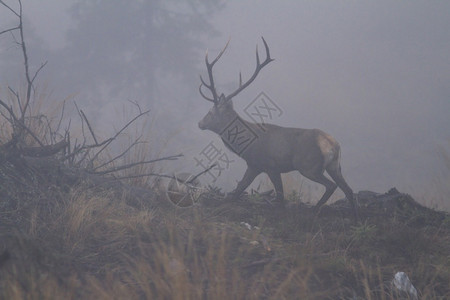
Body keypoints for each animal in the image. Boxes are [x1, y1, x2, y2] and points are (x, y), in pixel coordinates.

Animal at [197, 37, 358, 220]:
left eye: (210, 112)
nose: (200, 123)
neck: (245, 144)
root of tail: (333, 145)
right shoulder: (258, 166)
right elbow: (240, 191)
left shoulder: (265, 165)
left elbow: (269, 195)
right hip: (335, 166)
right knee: (349, 190)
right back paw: (354, 216)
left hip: (309, 166)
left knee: (331, 186)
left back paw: (314, 210)